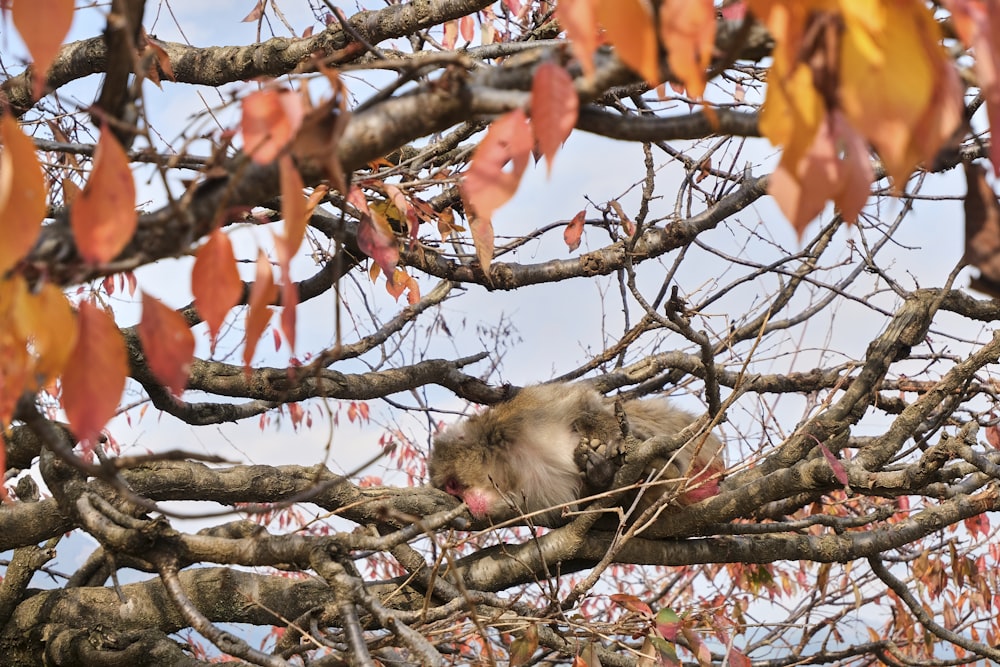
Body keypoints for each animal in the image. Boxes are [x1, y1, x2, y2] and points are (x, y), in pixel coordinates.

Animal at [426, 384, 724, 528]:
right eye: (453, 493)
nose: (469, 506)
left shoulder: (528, 414)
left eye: (453, 485)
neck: (517, 465)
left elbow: (584, 407)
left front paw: (612, 439)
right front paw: (599, 475)